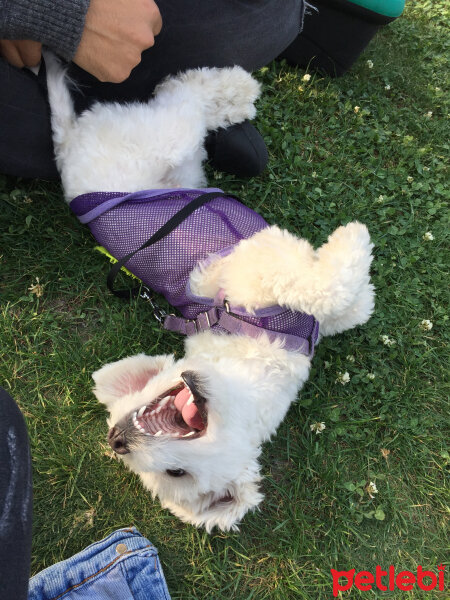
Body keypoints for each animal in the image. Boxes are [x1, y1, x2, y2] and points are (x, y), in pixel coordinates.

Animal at [46, 52, 376, 528]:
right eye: (176, 473)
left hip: (172, 153)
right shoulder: (249, 268)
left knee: (183, 91)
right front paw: (354, 239)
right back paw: (240, 91)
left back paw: (237, 93)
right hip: (165, 135)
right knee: (182, 94)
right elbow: (325, 286)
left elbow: (349, 306)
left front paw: (355, 272)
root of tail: (68, 142)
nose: (117, 441)